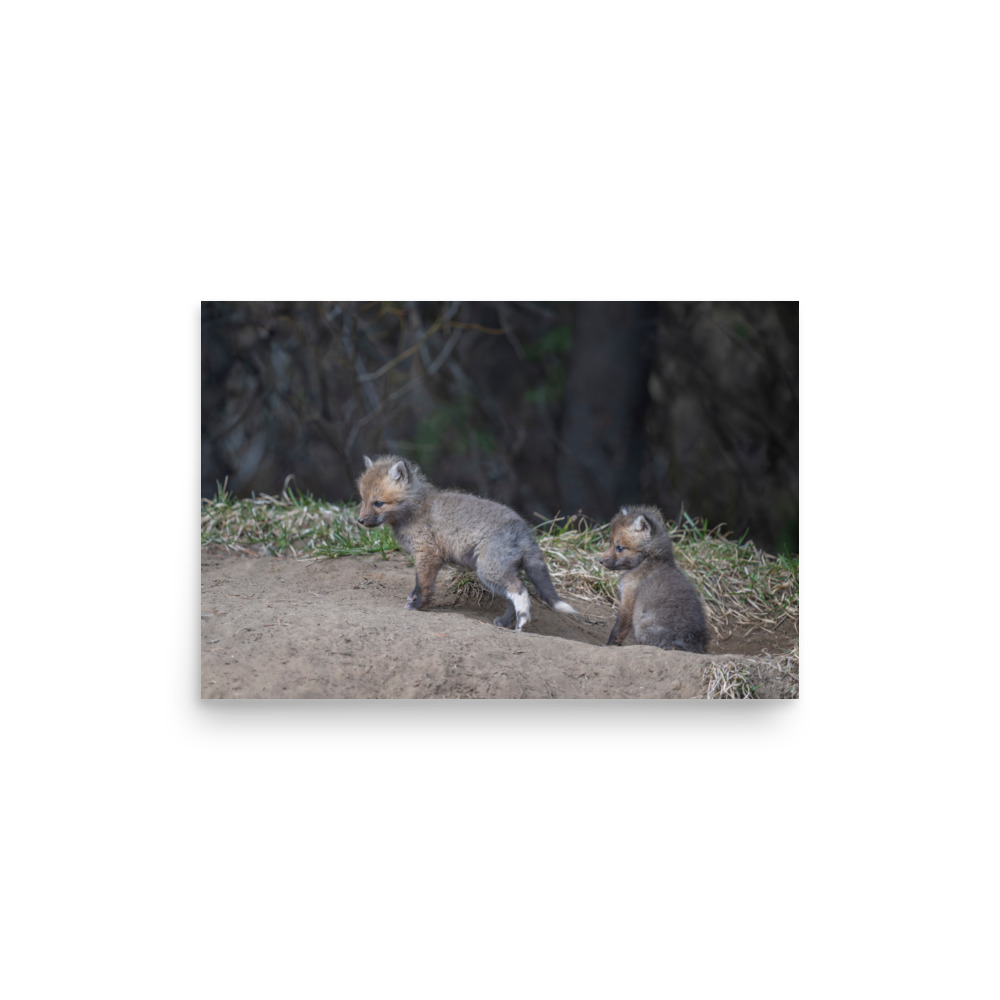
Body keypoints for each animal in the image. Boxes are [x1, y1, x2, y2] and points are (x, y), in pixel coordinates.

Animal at [356, 455, 577, 632]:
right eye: (363, 500)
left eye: (378, 503)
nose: (359, 521)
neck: (415, 508)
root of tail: (525, 530)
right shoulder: (429, 558)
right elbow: (423, 584)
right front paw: (417, 601)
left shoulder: (427, 554)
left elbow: (423, 585)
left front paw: (418, 605)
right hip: (498, 573)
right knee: (510, 598)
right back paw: (505, 623)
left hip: (489, 571)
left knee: (520, 590)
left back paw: (522, 622)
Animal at [599, 505, 708, 653]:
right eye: (610, 543)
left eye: (619, 548)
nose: (600, 561)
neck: (649, 560)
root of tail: (693, 646)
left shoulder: (628, 601)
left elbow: (617, 631)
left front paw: (608, 646)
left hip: (643, 628)